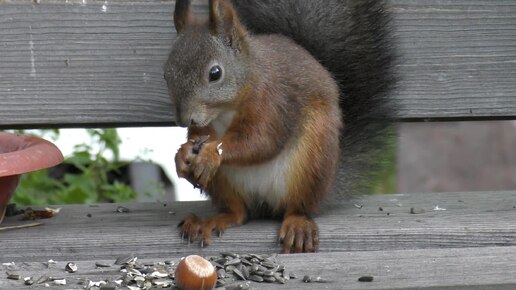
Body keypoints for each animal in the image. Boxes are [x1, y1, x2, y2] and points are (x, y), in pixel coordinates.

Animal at [165, 0, 396, 254]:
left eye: (215, 73)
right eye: (166, 74)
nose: (184, 119)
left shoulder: (274, 101)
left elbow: (262, 140)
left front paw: (209, 154)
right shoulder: (207, 126)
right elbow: (200, 136)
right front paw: (182, 154)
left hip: (313, 160)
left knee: (298, 206)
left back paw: (298, 224)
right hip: (223, 184)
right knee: (239, 213)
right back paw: (213, 220)